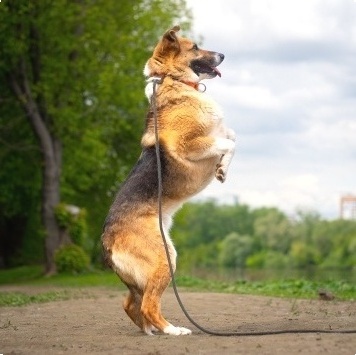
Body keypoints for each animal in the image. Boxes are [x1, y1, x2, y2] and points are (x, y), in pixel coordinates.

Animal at [102, 25, 236, 336]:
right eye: (195, 47)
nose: (224, 54)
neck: (175, 82)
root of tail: (106, 240)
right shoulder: (190, 144)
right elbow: (229, 142)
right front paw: (221, 168)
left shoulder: (217, 133)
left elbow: (232, 136)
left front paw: (222, 169)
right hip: (165, 258)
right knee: (148, 305)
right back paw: (173, 330)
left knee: (131, 304)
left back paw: (151, 331)